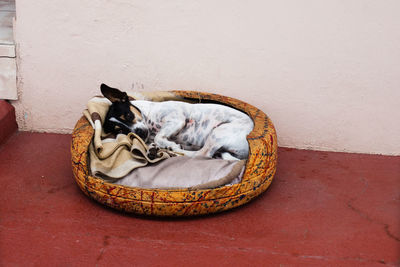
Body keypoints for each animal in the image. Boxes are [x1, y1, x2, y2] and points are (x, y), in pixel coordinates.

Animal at [101, 84, 255, 161]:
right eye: (121, 131)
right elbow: (154, 141)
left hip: (218, 133)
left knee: (202, 155)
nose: (139, 132)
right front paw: (154, 148)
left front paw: (168, 145)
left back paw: (175, 150)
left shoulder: (177, 120)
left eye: (128, 114)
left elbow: (159, 137)